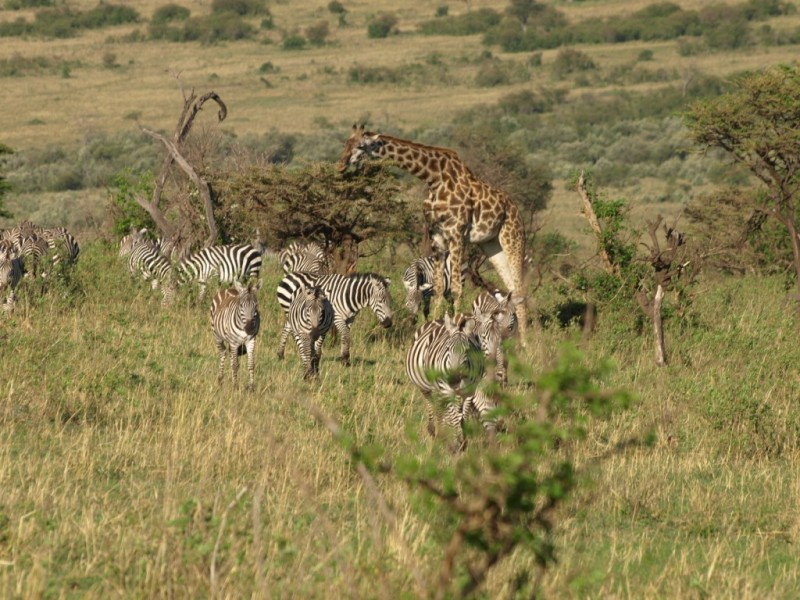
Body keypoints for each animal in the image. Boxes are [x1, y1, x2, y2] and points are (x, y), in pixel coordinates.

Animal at [340, 123, 532, 342]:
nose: (341, 164)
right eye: (346, 143)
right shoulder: (437, 237)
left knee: (519, 287)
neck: (433, 178)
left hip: (512, 238)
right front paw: (434, 327)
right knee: (511, 288)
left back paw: (525, 342)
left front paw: (457, 332)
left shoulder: (457, 234)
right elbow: (438, 288)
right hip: (491, 245)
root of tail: (516, 211)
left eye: (360, 146)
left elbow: (456, 289)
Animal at [410, 314, 496, 450]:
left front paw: (464, 440)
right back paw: (434, 431)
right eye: (447, 348)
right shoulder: (446, 391)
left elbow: (463, 417)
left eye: (467, 350)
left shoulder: (469, 392)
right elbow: (454, 417)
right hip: (427, 387)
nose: (453, 379)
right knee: (431, 404)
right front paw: (457, 441)